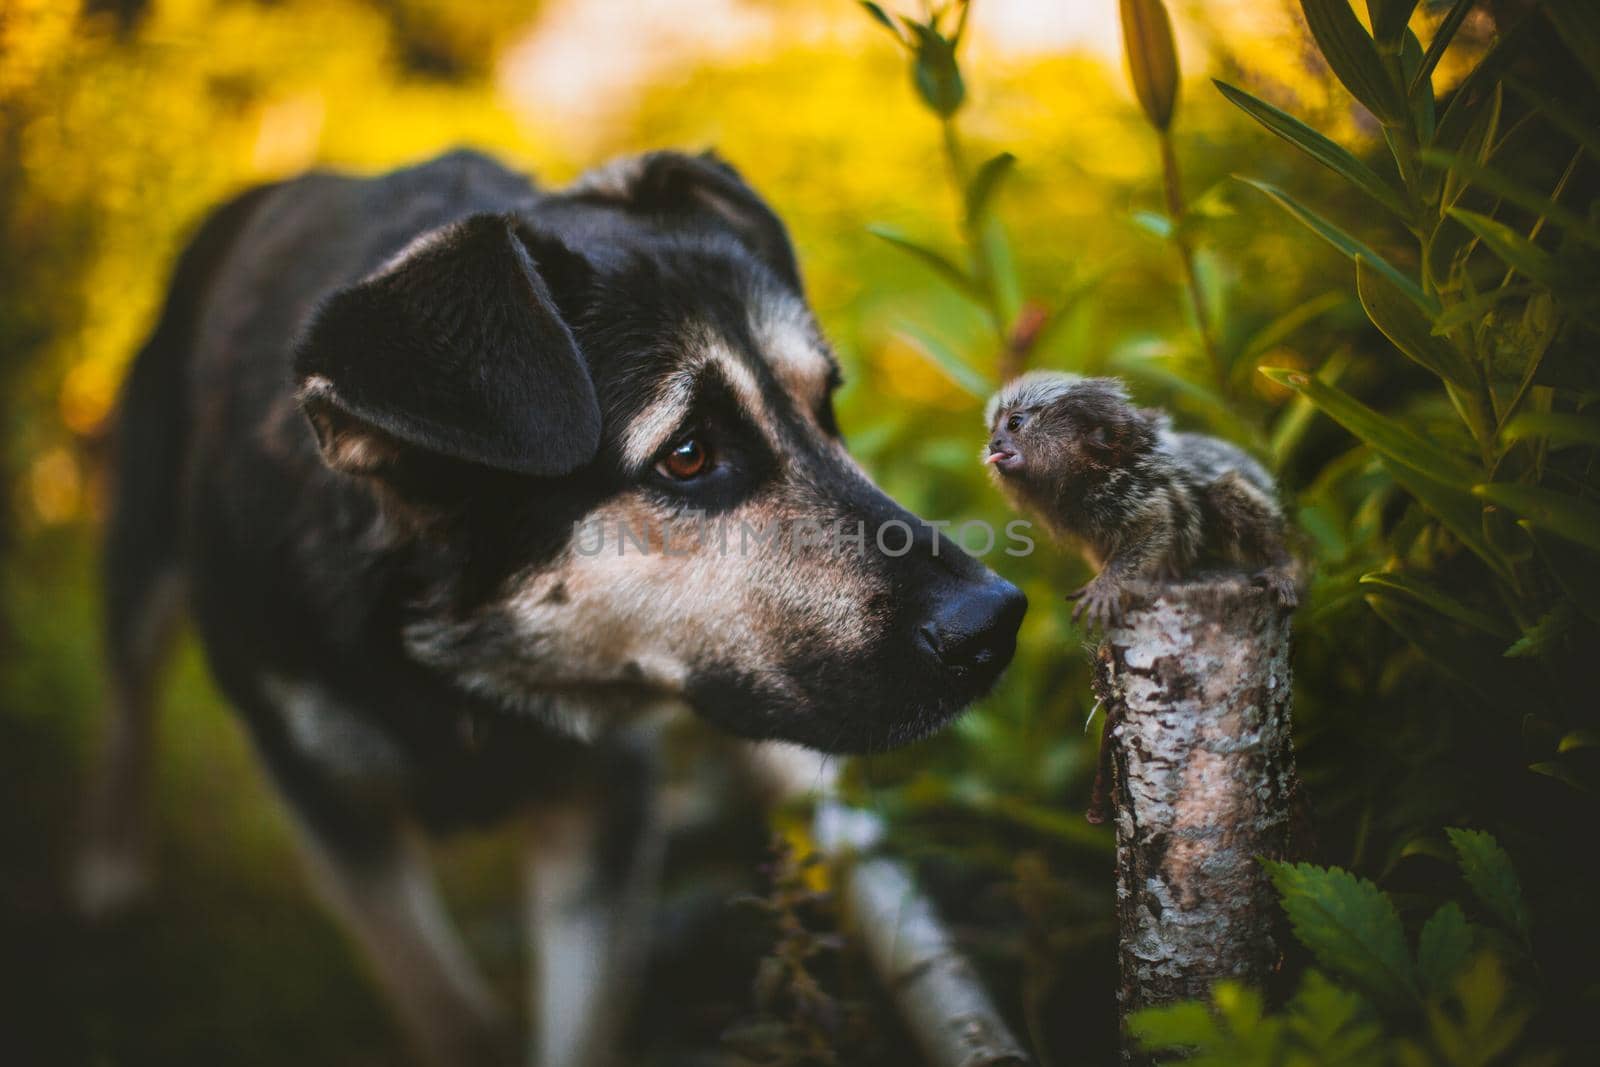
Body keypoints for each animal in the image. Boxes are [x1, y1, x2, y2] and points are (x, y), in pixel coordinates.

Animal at [75, 150, 1024, 1067]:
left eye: (826, 405)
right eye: (687, 455)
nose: (996, 622)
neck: (457, 654)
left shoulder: (603, 805)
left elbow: (585, 1024)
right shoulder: (326, 798)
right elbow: (450, 1014)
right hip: (144, 550)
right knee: (127, 690)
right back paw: (110, 869)